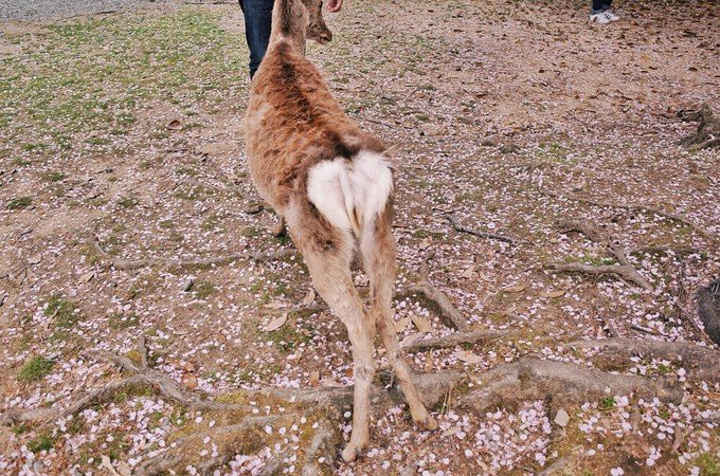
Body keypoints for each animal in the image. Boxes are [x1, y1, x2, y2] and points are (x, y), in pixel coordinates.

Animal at [243, 0, 438, 462]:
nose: (327, 34)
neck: (283, 48)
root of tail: (348, 167)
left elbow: (273, 209)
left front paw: (275, 229)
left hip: (324, 248)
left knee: (362, 325)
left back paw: (356, 442)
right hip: (381, 232)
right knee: (384, 315)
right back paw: (422, 413)